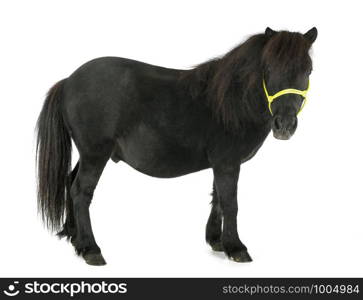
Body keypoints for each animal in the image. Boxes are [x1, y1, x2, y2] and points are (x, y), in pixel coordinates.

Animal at [35, 27, 318, 264]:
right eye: (267, 69)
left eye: (308, 70)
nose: (284, 125)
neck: (231, 101)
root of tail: (68, 81)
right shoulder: (227, 163)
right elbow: (230, 202)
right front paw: (236, 247)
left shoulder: (220, 164)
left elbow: (217, 198)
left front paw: (216, 240)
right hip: (95, 154)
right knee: (81, 192)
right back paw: (91, 249)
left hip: (87, 154)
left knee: (70, 183)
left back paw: (76, 240)